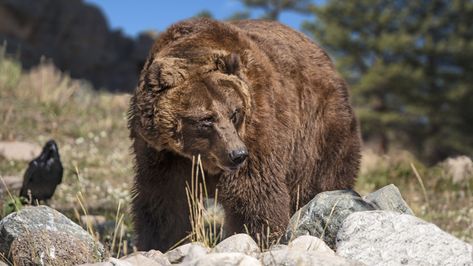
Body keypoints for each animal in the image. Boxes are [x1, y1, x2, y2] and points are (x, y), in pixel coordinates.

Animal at [127, 17, 360, 250]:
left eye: (234, 113)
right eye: (206, 119)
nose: (237, 154)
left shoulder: (257, 125)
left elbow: (252, 192)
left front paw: (257, 237)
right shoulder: (162, 153)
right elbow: (165, 201)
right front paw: (161, 242)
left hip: (320, 128)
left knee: (323, 177)